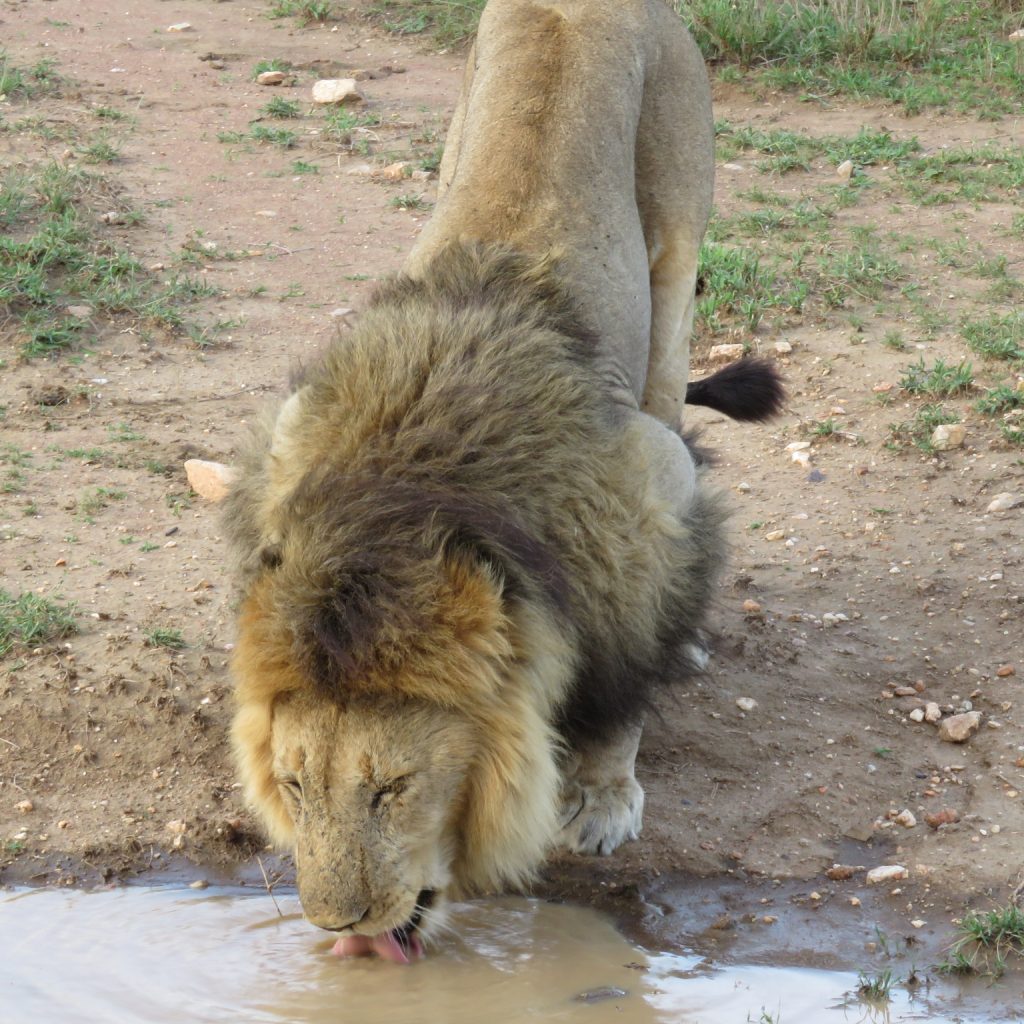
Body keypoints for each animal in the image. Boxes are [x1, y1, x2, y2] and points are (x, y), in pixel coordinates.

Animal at [226, 0, 782, 958]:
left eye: (393, 788)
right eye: (296, 786)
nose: (338, 925)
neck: (402, 489)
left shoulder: (650, 488)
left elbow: (622, 678)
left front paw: (604, 798)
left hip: (677, 259)